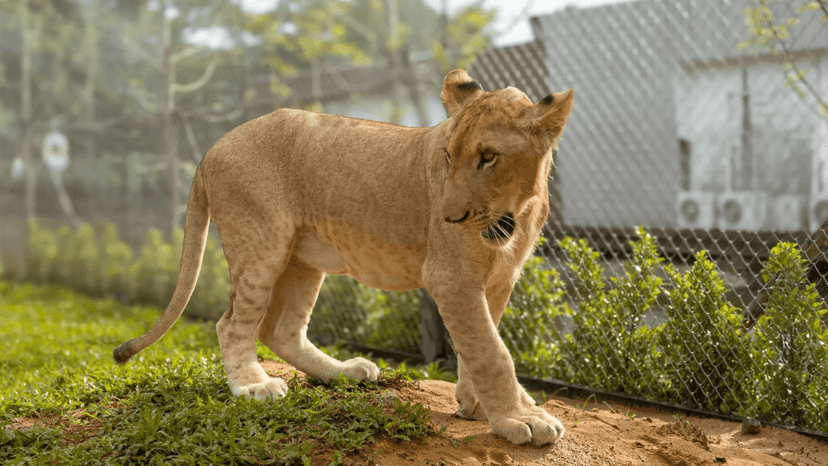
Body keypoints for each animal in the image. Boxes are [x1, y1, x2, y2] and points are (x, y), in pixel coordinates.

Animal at [113, 69, 574, 446]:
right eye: (448, 156)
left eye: (488, 157)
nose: (447, 217)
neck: (516, 213)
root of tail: (213, 146)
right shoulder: (452, 278)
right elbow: (491, 352)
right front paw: (520, 419)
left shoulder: (498, 280)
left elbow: (479, 342)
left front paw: (476, 403)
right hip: (261, 246)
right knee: (232, 324)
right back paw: (253, 386)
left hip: (302, 260)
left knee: (281, 331)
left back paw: (345, 373)